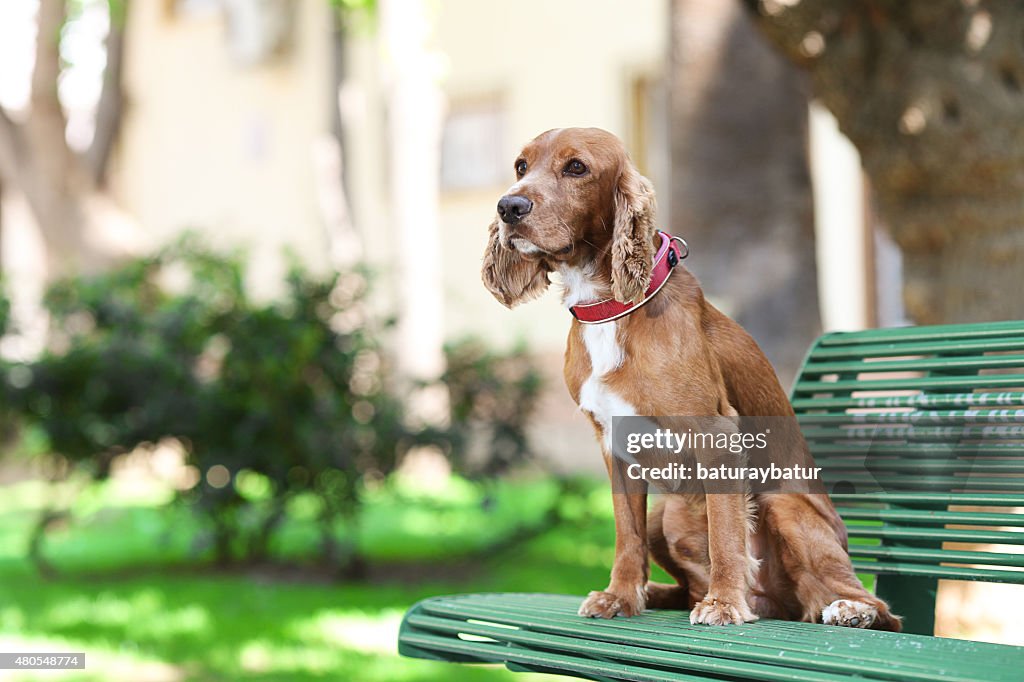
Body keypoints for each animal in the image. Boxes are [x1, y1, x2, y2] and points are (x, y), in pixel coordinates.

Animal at [477, 125, 897, 626]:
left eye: (576, 167)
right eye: (521, 166)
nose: (509, 206)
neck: (612, 308)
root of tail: (777, 606)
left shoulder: (717, 435)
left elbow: (726, 534)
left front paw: (725, 603)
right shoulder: (612, 444)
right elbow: (627, 535)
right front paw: (620, 595)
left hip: (782, 503)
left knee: (864, 604)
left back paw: (849, 609)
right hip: (665, 513)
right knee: (687, 581)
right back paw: (662, 594)